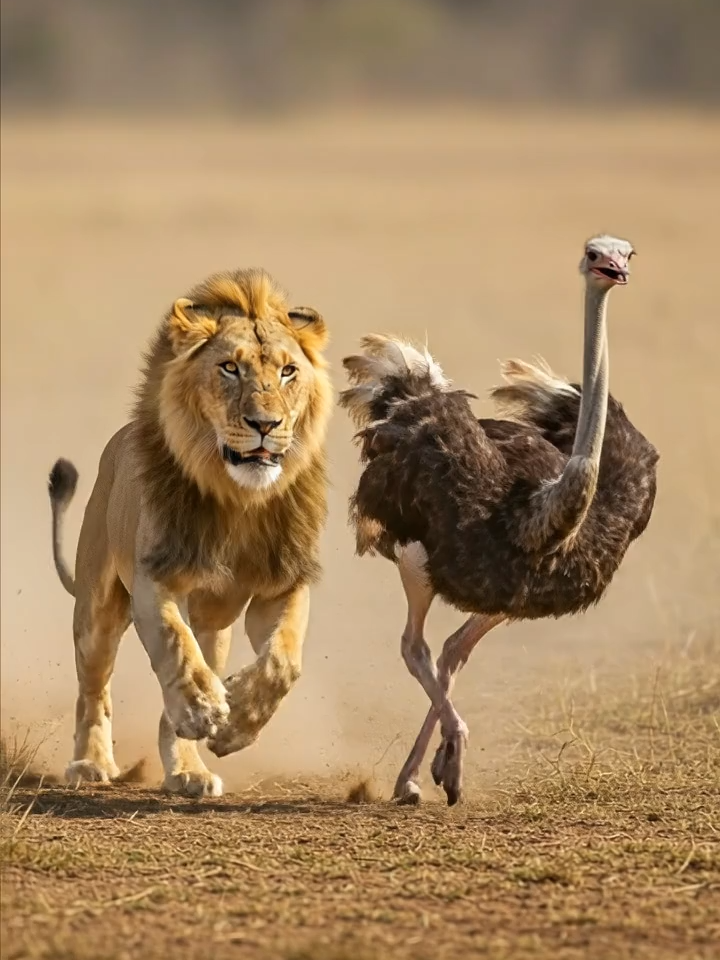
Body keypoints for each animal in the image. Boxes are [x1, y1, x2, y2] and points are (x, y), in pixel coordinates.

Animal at [48, 268, 332, 797]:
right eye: (229, 368)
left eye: (288, 372)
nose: (266, 424)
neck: (239, 499)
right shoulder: (154, 579)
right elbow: (176, 646)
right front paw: (203, 708)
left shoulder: (281, 585)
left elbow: (283, 661)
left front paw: (234, 721)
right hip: (98, 607)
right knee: (94, 688)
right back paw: (91, 764)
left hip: (215, 628)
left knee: (183, 688)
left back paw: (188, 771)